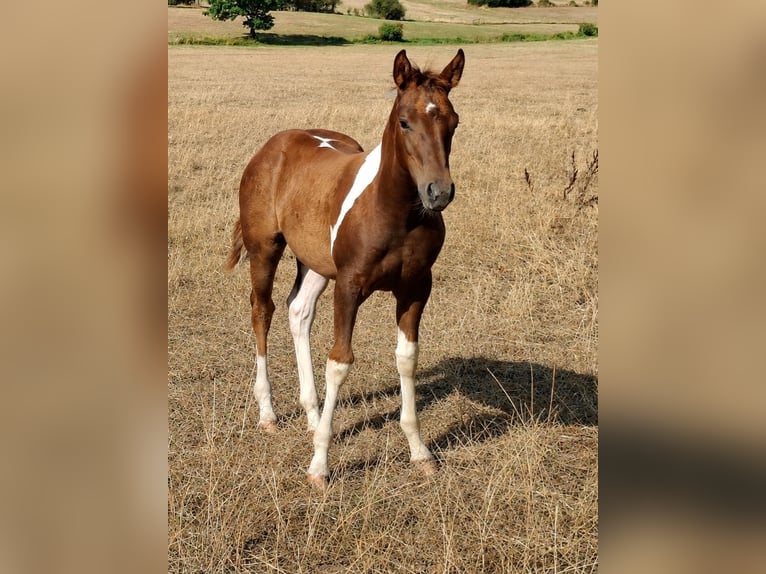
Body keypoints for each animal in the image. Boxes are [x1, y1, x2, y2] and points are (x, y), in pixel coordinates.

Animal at [225, 49, 465, 489]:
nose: (438, 193)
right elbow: (339, 362)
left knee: (298, 310)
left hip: (317, 263)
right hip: (265, 248)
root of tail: (273, 145)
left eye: (453, 122)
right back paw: (269, 414)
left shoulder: (416, 287)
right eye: (404, 121)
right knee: (262, 310)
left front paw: (420, 452)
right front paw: (319, 466)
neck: (395, 212)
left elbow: (407, 358)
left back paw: (313, 414)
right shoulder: (350, 286)